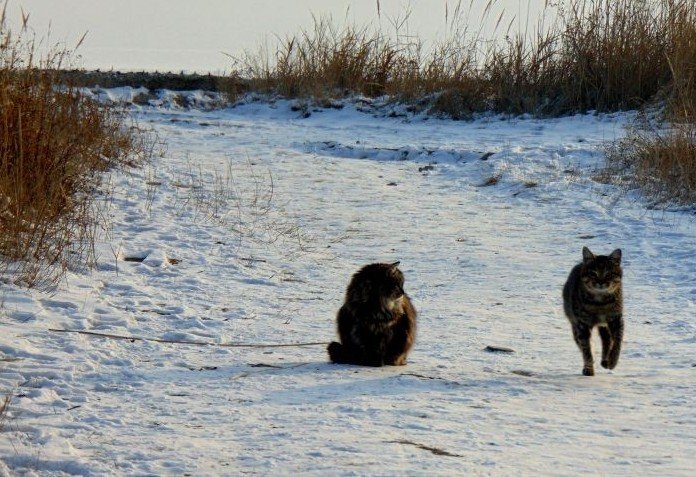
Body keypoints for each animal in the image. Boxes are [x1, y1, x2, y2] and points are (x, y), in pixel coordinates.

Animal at [564, 245, 624, 376]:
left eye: (608, 274)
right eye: (593, 273)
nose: (600, 282)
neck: (599, 303)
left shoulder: (616, 318)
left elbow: (617, 341)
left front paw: (613, 360)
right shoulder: (582, 323)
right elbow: (586, 349)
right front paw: (588, 367)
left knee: (607, 338)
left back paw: (606, 360)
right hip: (574, 323)